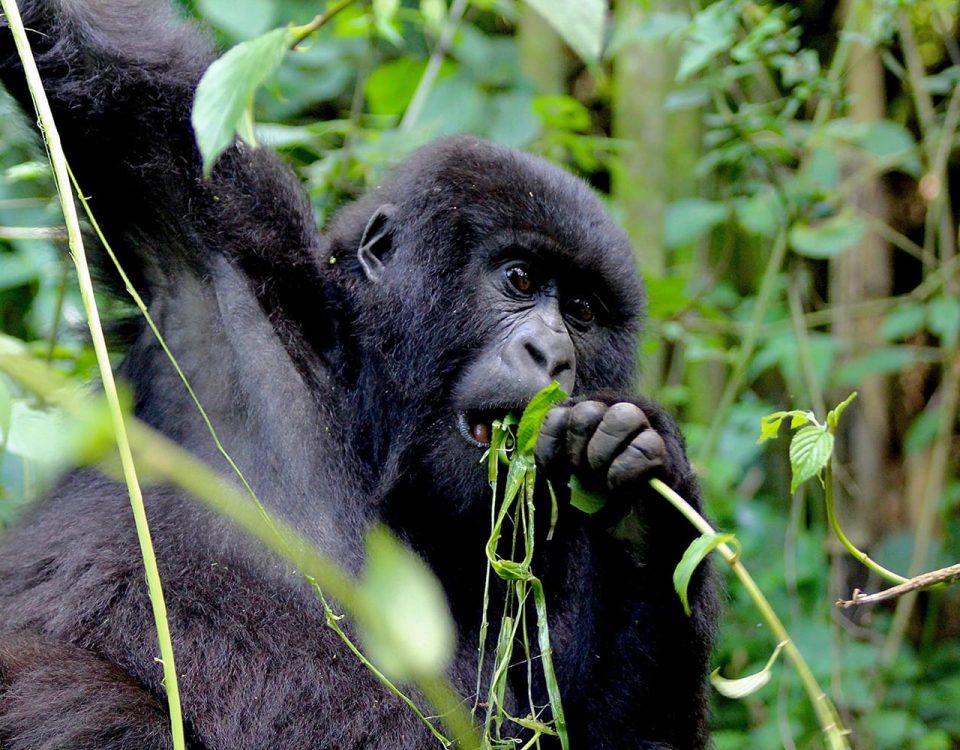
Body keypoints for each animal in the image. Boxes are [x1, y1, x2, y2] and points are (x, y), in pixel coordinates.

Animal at [0, 1, 716, 750]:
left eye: (581, 312)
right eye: (519, 280)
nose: (554, 357)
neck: (369, 429)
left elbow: (606, 732)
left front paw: (638, 494)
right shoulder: (219, 256)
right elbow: (101, 56)